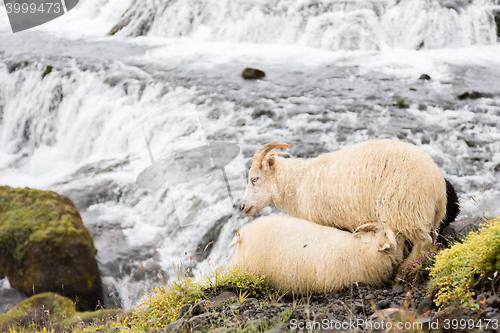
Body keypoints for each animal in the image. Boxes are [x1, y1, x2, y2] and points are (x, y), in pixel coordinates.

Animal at [240, 139, 458, 272]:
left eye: (254, 179)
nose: (242, 207)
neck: (297, 182)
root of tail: (437, 183)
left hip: (405, 209)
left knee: (424, 241)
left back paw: (403, 269)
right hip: (426, 215)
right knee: (431, 240)